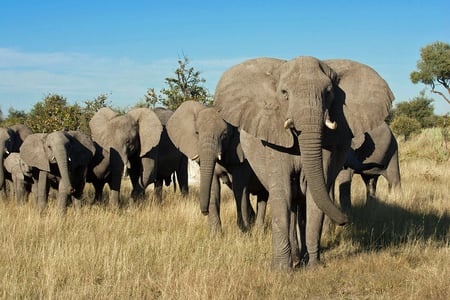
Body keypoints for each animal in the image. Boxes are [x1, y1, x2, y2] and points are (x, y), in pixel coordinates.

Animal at [167, 101, 268, 232]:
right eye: (197, 133)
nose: (204, 212)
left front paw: (244, 233)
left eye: (224, 135)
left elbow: (239, 188)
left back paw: (258, 230)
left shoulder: (243, 158)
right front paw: (215, 235)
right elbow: (213, 186)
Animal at [214, 56, 394, 272]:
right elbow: (282, 193)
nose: (345, 220)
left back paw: (302, 257)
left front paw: (314, 267)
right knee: (292, 204)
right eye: (284, 93)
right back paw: (295, 257)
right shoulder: (274, 139)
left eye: (329, 92)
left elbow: (313, 196)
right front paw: (281, 271)